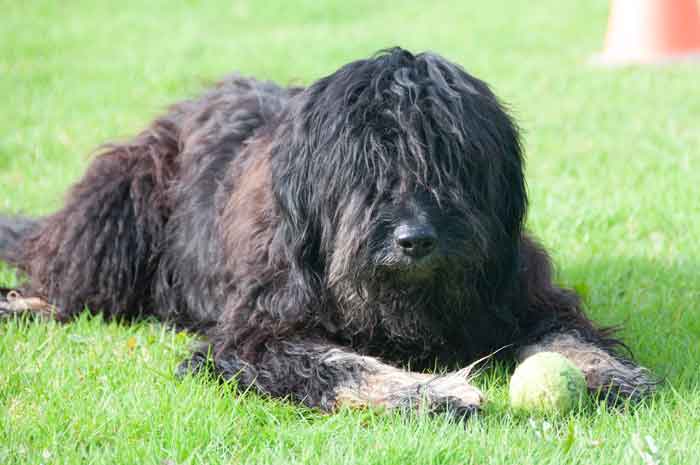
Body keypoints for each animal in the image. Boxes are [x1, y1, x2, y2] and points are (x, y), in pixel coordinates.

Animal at [0, 49, 656, 416]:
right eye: (367, 166)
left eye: (452, 161)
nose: (415, 239)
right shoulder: (257, 334)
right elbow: (338, 364)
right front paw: (434, 393)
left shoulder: (519, 291)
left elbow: (565, 333)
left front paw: (607, 373)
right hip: (121, 208)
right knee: (69, 284)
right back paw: (21, 301)